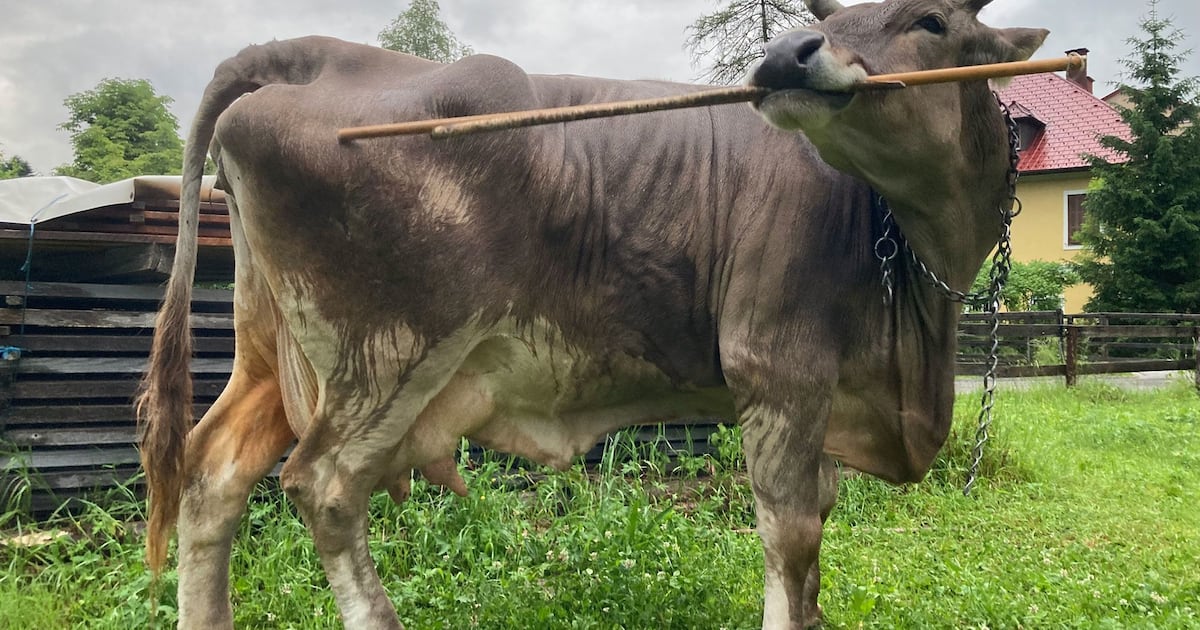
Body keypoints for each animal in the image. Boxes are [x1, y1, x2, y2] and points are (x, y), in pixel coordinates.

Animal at [137, 0, 1046, 627]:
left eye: (930, 19)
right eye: (829, 19)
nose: (786, 54)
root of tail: (316, 54)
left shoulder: (825, 400)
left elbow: (815, 543)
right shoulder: (778, 372)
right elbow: (790, 545)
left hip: (275, 353)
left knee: (213, 472)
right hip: (389, 354)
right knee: (323, 486)